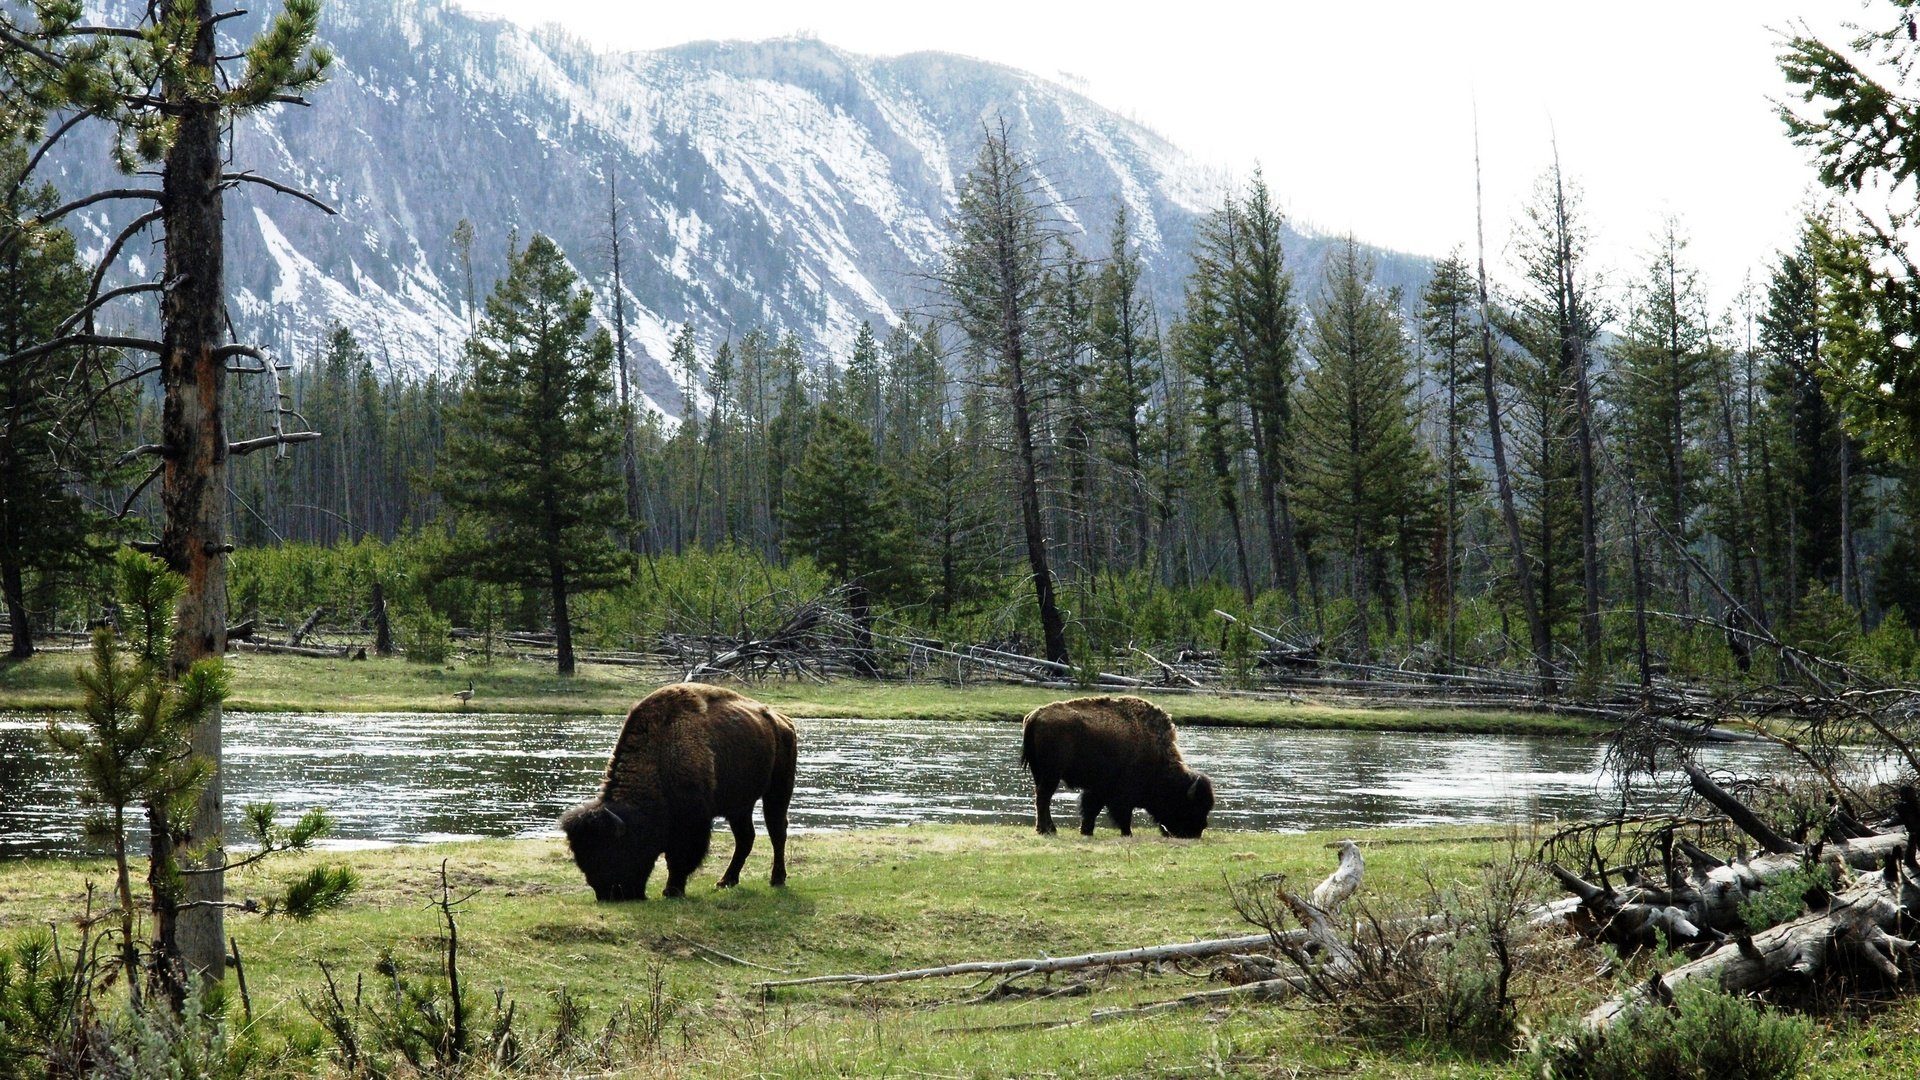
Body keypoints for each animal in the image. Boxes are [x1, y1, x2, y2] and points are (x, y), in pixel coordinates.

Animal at [560, 680, 798, 899]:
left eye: (612, 852)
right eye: (582, 860)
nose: (611, 895)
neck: (659, 755)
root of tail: (783, 721)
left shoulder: (692, 822)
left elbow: (679, 857)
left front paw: (672, 890)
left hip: (778, 791)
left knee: (777, 831)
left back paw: (776, 879)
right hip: (740, 806)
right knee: (745, 837)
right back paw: (725, 881)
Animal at [1021, 691, 1213, 837]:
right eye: (1191, 806)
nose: (1197, 832)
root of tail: (1034, 716)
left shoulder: (1098, 789)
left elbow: (1091, 809)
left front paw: (1086, 831)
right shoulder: (1121, 794)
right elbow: (1122, 815)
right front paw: (1127, 833)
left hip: (1040, 773)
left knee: (1041, 797)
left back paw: (1048, 829)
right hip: (1051, 774)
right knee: (1043, 797)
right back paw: (1046, 830)